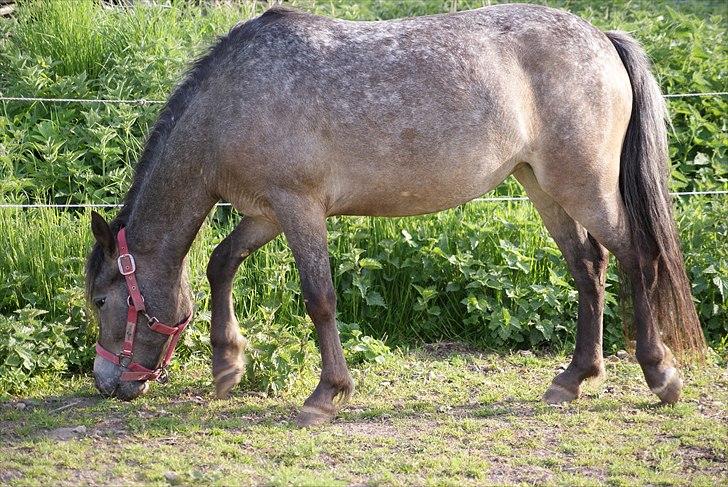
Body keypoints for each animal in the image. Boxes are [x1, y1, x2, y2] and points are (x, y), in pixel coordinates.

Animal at [85, 4, 704, 428]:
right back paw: (574, 379)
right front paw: (227, 365)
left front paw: (326, 395)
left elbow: (320, 299)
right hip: (543, 186)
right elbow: (221, 263)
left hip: (583, 186)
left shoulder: (298, 207)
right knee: (588, 267)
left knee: (636, 256)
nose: (107, 383)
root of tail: (602, 37)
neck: (232, 102)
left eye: (101, 299)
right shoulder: (267, 213)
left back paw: (659, 373)